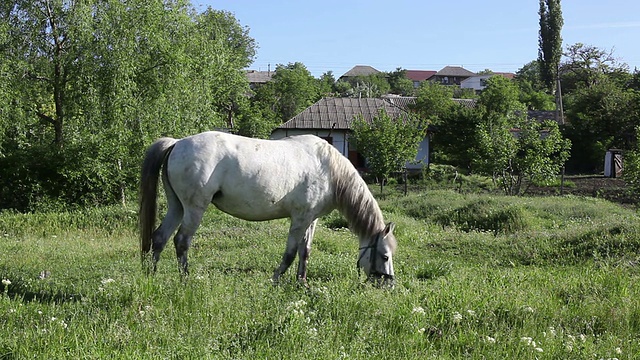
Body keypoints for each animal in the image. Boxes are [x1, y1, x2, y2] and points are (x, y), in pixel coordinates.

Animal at [140, 131, 396, 286]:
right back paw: (186, 280)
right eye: (384, 255)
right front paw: (275, 280)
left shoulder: (311, 220)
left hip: (177, 207)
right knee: (181, 241)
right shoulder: (299, 219)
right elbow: (290, 253)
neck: (329, 169)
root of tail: (177, 143)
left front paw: (302, 283)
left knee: (160, 238)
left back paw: (151, 276)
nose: (388, 284)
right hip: (194, 208)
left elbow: (305, 251)